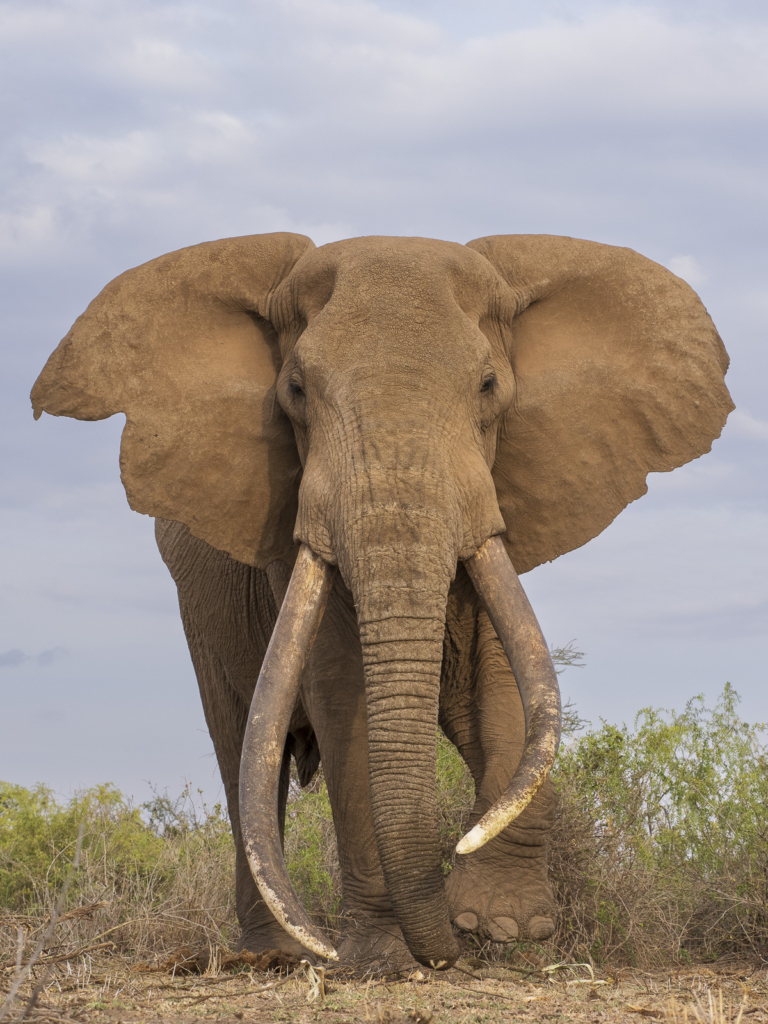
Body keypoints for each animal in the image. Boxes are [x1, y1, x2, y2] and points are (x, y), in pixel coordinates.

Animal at [33, 230, 737, 966]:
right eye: (295, 389)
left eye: (488, 385)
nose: (450, 949)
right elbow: (344, 687)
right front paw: (385, 960)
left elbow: (501, 677)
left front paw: (502, 926)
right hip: (199, 604)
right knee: (241, 750)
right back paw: (275, 953)